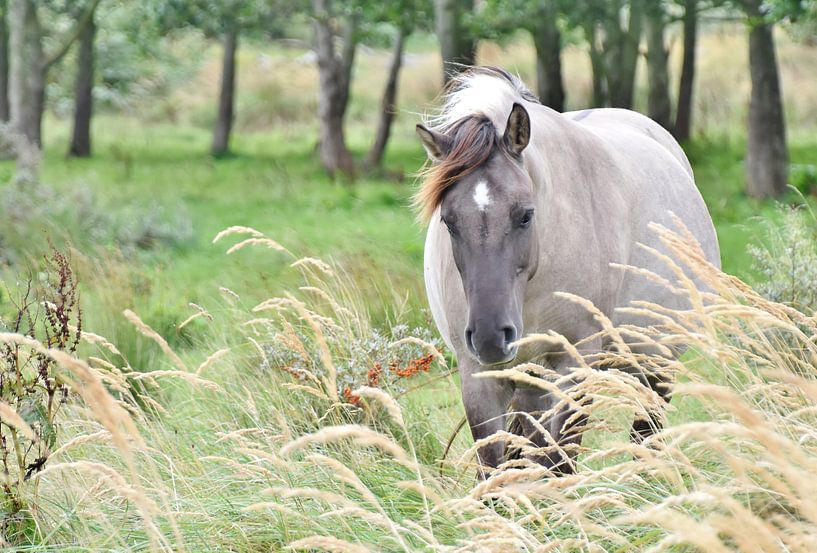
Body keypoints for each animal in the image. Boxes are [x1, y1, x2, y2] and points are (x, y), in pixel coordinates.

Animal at [414, 68, 720, 474]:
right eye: (448, 221)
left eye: (525, 215)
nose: (491, 336)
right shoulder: (478, 374)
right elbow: (496, 466)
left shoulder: (575, 360)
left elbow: (558, 460)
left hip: (655, 358)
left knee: (645, 432)